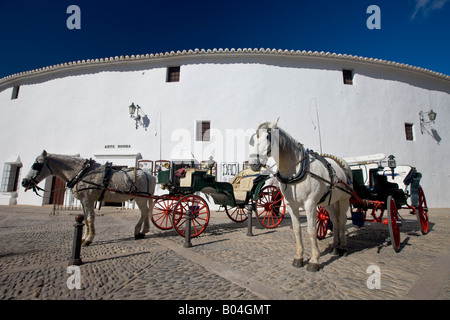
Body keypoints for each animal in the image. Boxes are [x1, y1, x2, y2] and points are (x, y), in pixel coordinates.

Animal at [22, 151, 156, 246]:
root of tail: (150, 175)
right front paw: (83, 237)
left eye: (36, 165)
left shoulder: (88, 199)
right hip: (143, 198)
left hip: (141, 198)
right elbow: (85, 219)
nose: (24, 182)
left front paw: (89, 239)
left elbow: (90, 218)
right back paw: (143, 231)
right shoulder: (83, 201)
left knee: (144, 212)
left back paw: (138, 231)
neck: (82, 172)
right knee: (146, 212)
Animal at [250, 119, 352, 272]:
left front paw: (314, 260)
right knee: (334, 219)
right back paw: (335, 247)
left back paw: (344, 247)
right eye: (253, 139)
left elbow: (311, 230)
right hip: (329, 201)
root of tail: (343, 163)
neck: (297, 170)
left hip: (344, 199)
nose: (253, 164)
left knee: (342, 220)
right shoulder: (291, 205)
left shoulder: (310, 204)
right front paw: (298, 257)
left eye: (268, 137)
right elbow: (297, 229)